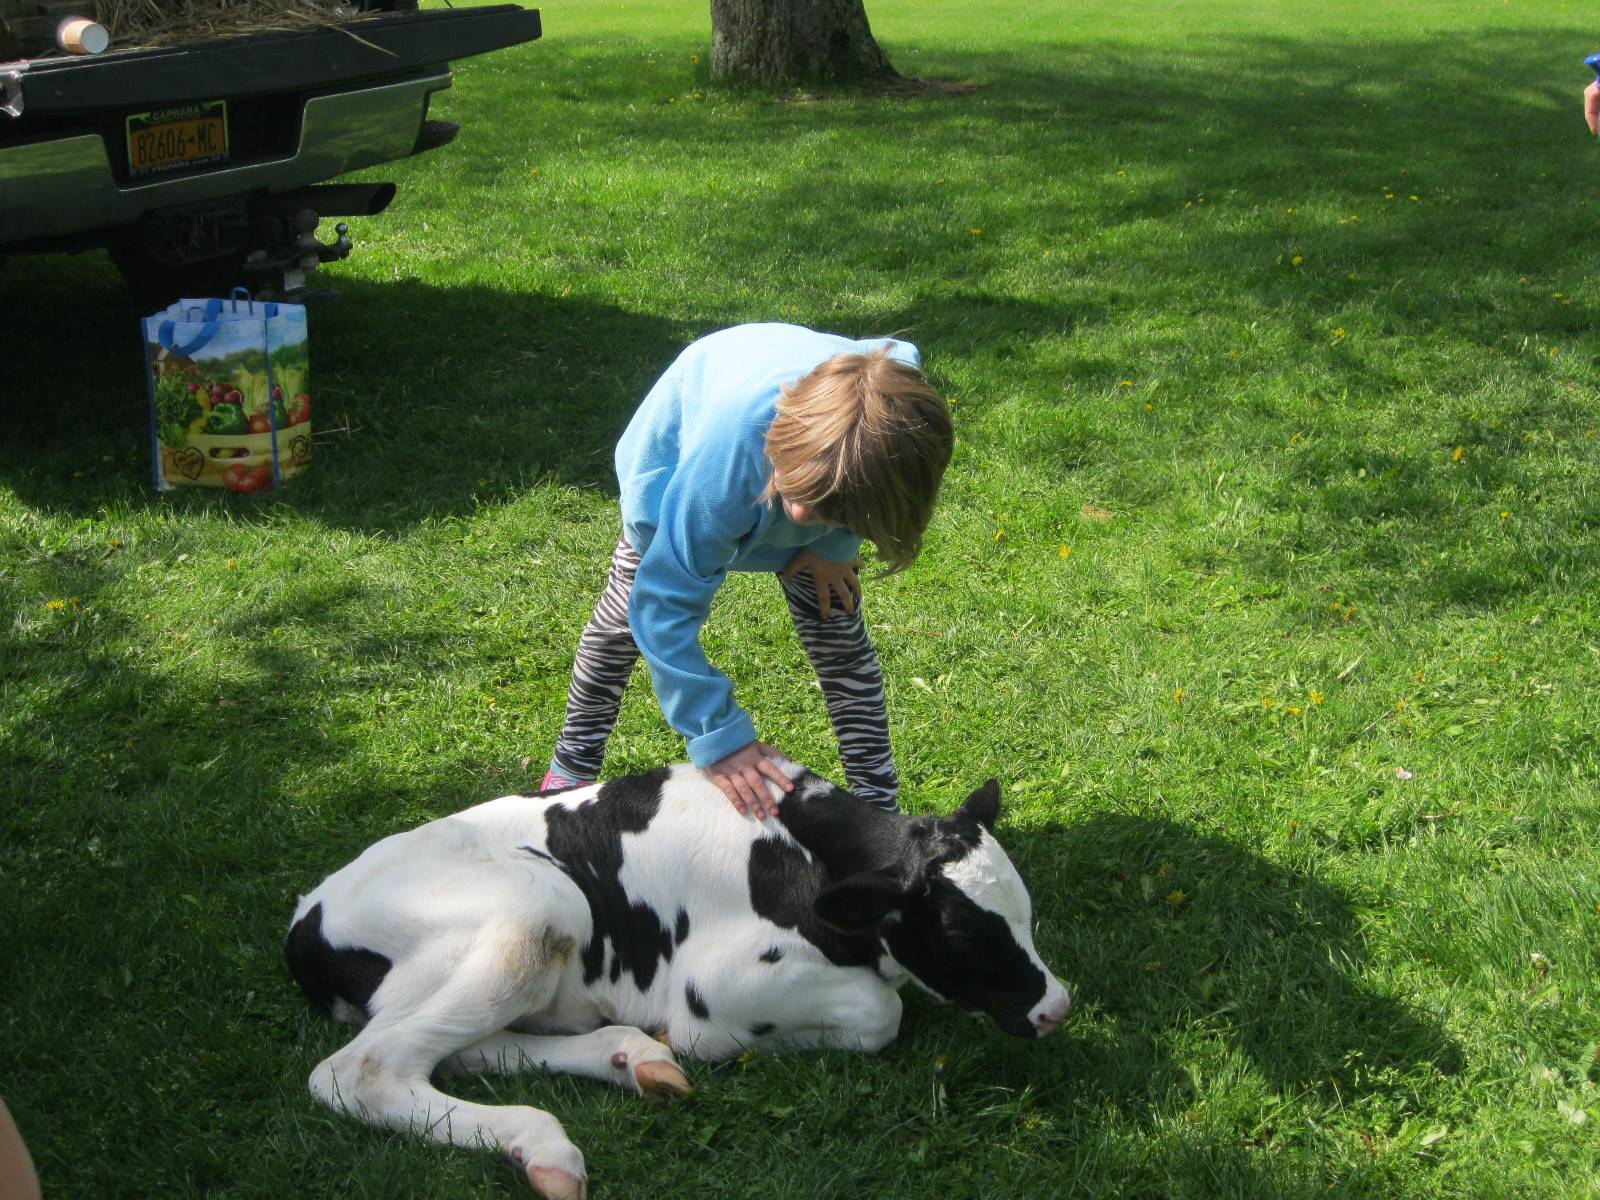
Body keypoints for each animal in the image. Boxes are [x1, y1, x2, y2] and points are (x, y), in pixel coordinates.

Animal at [284, 764, 1075, 1196]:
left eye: (1027, 914)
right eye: (962, 931)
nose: (1056, 1008)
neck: (799, 853)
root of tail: (306, 917)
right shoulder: (716, 990)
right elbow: (882, 1013)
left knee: (460, 1051)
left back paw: (632, 1059)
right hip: (537, 904)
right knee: (360, 1070)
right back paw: (548, 1143)